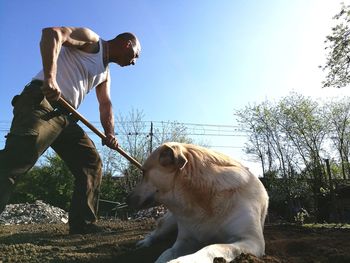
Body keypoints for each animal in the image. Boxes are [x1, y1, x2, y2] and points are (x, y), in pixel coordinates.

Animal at [127, 143, 270, 262]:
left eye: (143, 172)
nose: (126, 199)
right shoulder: (186, 240)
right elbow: (166, 253)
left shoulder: (251, 240)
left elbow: (212, 247)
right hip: (170, 222)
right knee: (158, 230)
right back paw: (145, 242)